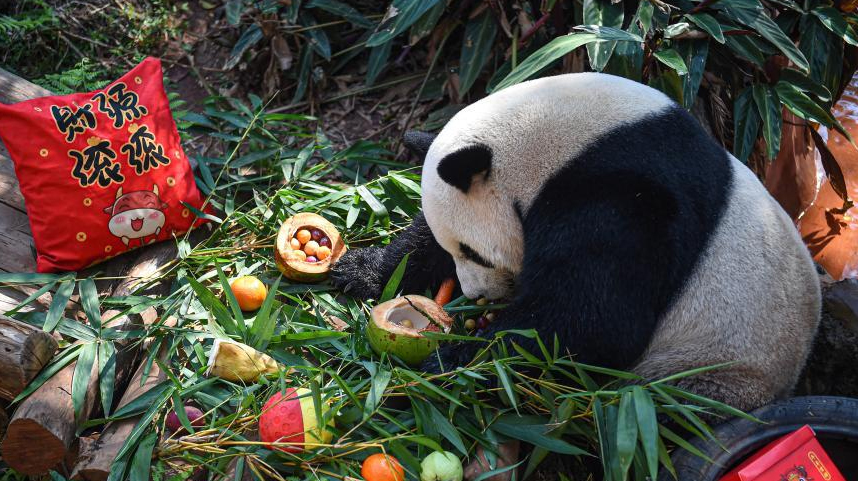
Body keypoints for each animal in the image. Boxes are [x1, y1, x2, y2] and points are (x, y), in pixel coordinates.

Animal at [330, 72, 824, 412]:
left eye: (473, 252)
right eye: (459, 252)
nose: (475, 294)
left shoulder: (621, 199)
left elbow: (590, 320)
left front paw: (453, 362)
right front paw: (361, 270)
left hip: (712, 370)